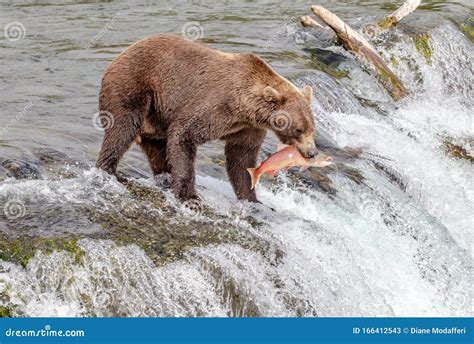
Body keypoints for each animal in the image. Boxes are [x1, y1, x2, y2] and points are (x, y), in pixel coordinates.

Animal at [95, 34, 318, 204]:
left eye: (312, 128)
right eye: (298, 129)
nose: (312, 152)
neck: (243, 107)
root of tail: (121, 53)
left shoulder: (247, 128)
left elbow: (241, 158)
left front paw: (253, 199)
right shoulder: (215, 106)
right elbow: (183, 135)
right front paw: (188, 195)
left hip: (157, 118)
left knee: (158, 148)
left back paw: (164, 177)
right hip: (135, 87)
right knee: (122, 129)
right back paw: (111, 170)